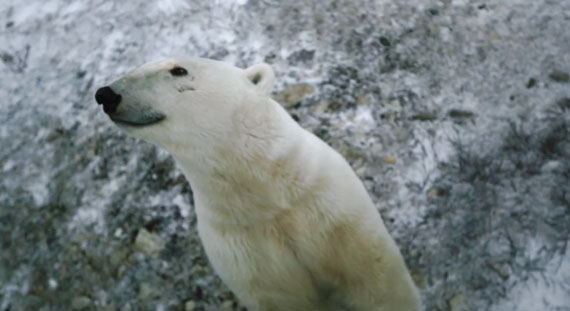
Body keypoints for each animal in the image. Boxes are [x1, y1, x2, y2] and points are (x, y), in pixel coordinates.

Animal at [95, 58, 420, 311]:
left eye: (178, 70)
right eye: (137, 66)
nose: (105, 94)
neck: (269, 196)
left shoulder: (335, 217)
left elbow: (377, 282)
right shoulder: (245, 255)